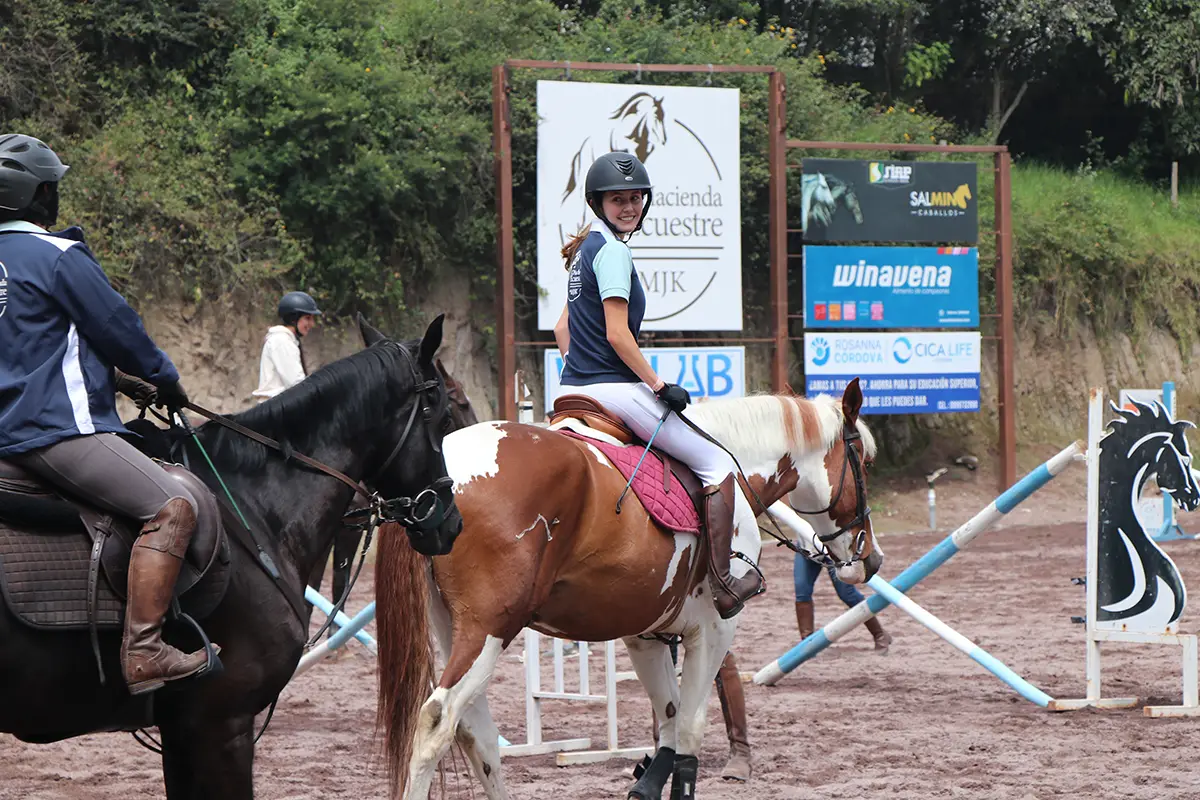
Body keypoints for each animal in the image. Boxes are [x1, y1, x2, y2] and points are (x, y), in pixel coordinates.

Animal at [374, 381, 883, 800]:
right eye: (865, 464)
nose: (871, 559)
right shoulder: (714, 629)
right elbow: (690, 729)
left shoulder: (646, 634)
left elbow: (670, 724)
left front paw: (646, 781)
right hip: (490, 628)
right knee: (436, 721)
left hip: (455, 629)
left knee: (476, 733)